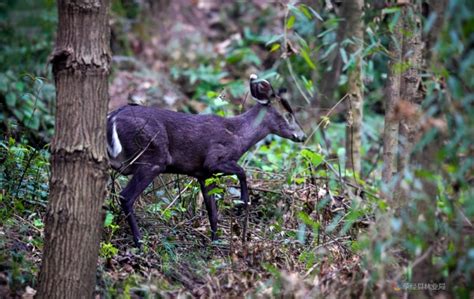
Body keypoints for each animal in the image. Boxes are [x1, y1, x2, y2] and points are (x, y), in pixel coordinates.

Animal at [106, 74, 308, 247]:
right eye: (288, 114)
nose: (303, 136)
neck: (238, 136)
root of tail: (112, 118)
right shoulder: (214, 159)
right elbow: (242, 171)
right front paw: (242, 203)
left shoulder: (203, 174)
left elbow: (213, 212)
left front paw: (215, 241)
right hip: (152, 157)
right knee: (126, 196)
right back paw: (139, 242)